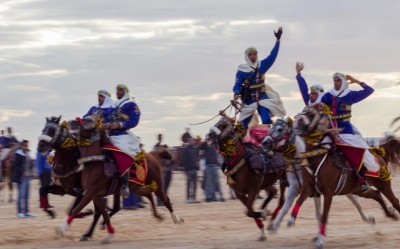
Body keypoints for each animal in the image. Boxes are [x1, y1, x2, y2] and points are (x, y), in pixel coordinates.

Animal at [54, 116, 183, 243]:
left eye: (88, 121)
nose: (70, 122)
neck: (94, 162)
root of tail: (153, 154)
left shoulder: (91, 192)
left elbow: (77, 210)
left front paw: (61, 229)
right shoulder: (96, 195)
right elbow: (104, 214)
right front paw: (109, 234)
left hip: (158, 185)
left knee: (166, 200)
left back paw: (176, 219)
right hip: (135, 187)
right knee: (148, 195)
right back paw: (158, 216)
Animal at [290, 105, 400, 249]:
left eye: (310, 114)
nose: (296, 122)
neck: (316, 157)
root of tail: (380, 155)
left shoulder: (328, 192)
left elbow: (324, 215)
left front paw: (320, 239)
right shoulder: (308, 188)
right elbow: (299, 201)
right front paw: (291, 219)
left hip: (383, 184)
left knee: (394, 201)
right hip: (358, 190)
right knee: (377, 196)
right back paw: (390, 215)